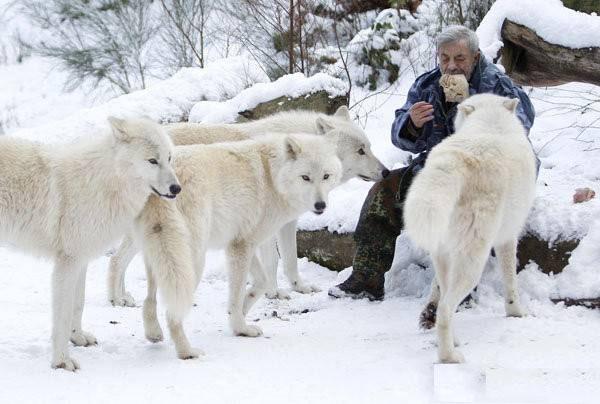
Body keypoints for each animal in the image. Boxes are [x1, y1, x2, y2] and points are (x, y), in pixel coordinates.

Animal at [0, 117, 179, 370]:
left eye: (169, 158)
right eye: (152, 161)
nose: (177, 188)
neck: (105, 182)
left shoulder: (81, 260)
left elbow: (78, 304)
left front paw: (78, 337)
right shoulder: (67, 263)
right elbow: (63, 316)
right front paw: (62, 362)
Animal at [108, 104, 390, 306]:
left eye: (369, 147)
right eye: (360, 151)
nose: (387, 172)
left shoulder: (287, 222)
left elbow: (290, 260)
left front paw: (299, 288)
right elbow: (273, 262)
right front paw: (274, 293)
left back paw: (121, 297)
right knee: (116, 260)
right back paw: (118, 299)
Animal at [135, 133, 342, 360]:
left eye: (326, 176)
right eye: (305, 177)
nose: (320, 205)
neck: (273, 175)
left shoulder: (242, 243)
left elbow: (262, 282)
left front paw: (240, 311)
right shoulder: (241, 246)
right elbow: (237, 294)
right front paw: (240, 328)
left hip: (159, 256)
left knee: (149, 300)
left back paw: (153, 333)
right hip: (191, 262)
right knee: (173, 313)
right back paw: (186, 352)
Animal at [404, 94, 536, 362]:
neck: (491, 123)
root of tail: (454, 161)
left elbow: (435, 288)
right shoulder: (507, 239)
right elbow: (511, 281)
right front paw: (516, 313)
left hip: (445, 255)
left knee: (444, 300)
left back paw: (452, 341)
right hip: (473, 262)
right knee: (446, 308)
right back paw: (449, 357)